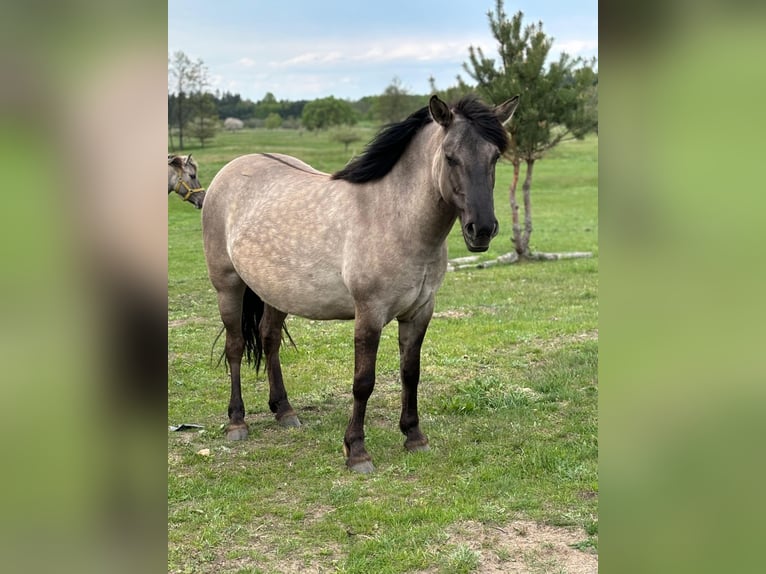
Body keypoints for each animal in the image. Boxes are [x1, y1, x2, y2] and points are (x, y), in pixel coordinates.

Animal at [202, 94, 518, 473]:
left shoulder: (419, 312)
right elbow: (363, 382)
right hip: (228, 287)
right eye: (450, 156)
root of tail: (230, 170)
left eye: (495, 156)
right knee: (235, 347)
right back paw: (237, 421)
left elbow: (410, 372)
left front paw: (414, 436)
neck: (395, 219)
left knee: (269, 340)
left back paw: (285, 411)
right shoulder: (369, 314)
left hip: (276, 293)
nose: (481, 230)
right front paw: (357, 451)